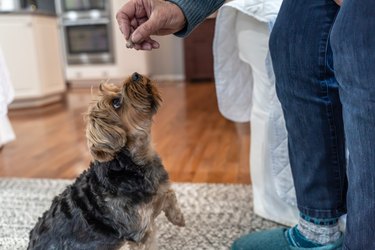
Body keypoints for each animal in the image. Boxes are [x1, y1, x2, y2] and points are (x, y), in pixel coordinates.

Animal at [27, 73, 186, 250]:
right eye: (116, 102)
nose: (136, 75)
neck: (134, 162)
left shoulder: (161, 189)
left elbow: (170, 194)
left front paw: (178, 218)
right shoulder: (140, 233)